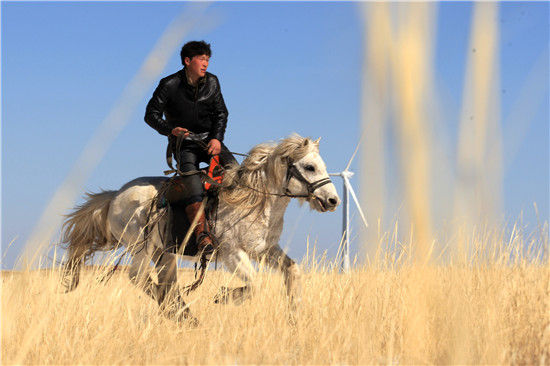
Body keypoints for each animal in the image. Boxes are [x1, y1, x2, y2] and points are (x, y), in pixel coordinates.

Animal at [60, 134, 340, 320]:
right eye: (309, 167)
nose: (333, 200)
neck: (254, 200)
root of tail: (115, 196)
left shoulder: (264, 250)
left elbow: (293, 271)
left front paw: (294, 316)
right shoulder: (231, 253)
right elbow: (254, 283)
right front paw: (225, 296)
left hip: (164, 253)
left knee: (166, 283)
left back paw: (182, 314)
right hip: (141, 247)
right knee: (139, 278)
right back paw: (180, 313)